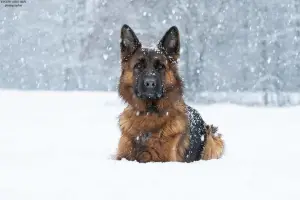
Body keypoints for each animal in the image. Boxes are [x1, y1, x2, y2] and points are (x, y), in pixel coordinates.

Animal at [116, 24, 224, 162]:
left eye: (160, 67)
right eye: (139, 66)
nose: (150, 83)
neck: (148, 114)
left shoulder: (165, 159)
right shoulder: (121, 156)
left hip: (212, 138)